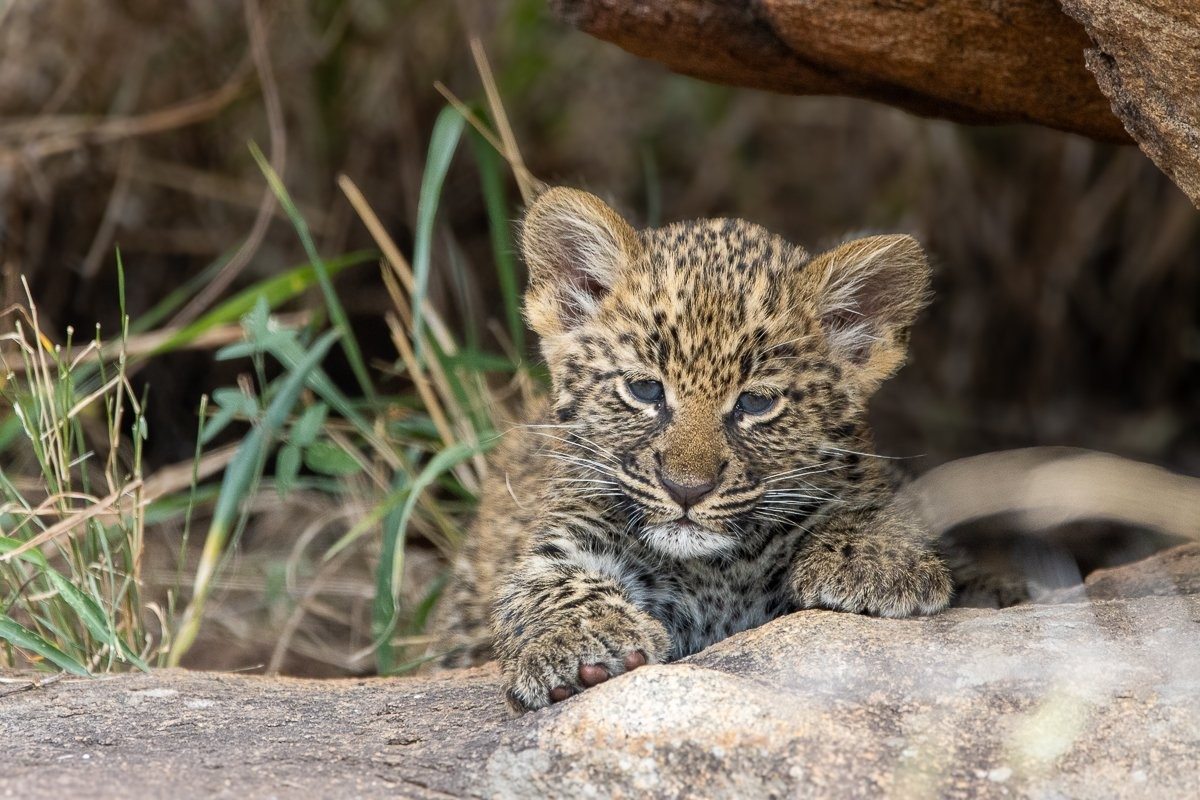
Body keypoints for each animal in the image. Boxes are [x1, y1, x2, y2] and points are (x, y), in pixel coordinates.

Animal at [429, 186, 953, 713]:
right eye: (644, 390)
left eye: (756, 402)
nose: (686, 490)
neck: (713, 574)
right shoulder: (570, 529)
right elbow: (545, 583)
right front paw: (580, 643)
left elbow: (869, 503)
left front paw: (873, 558)